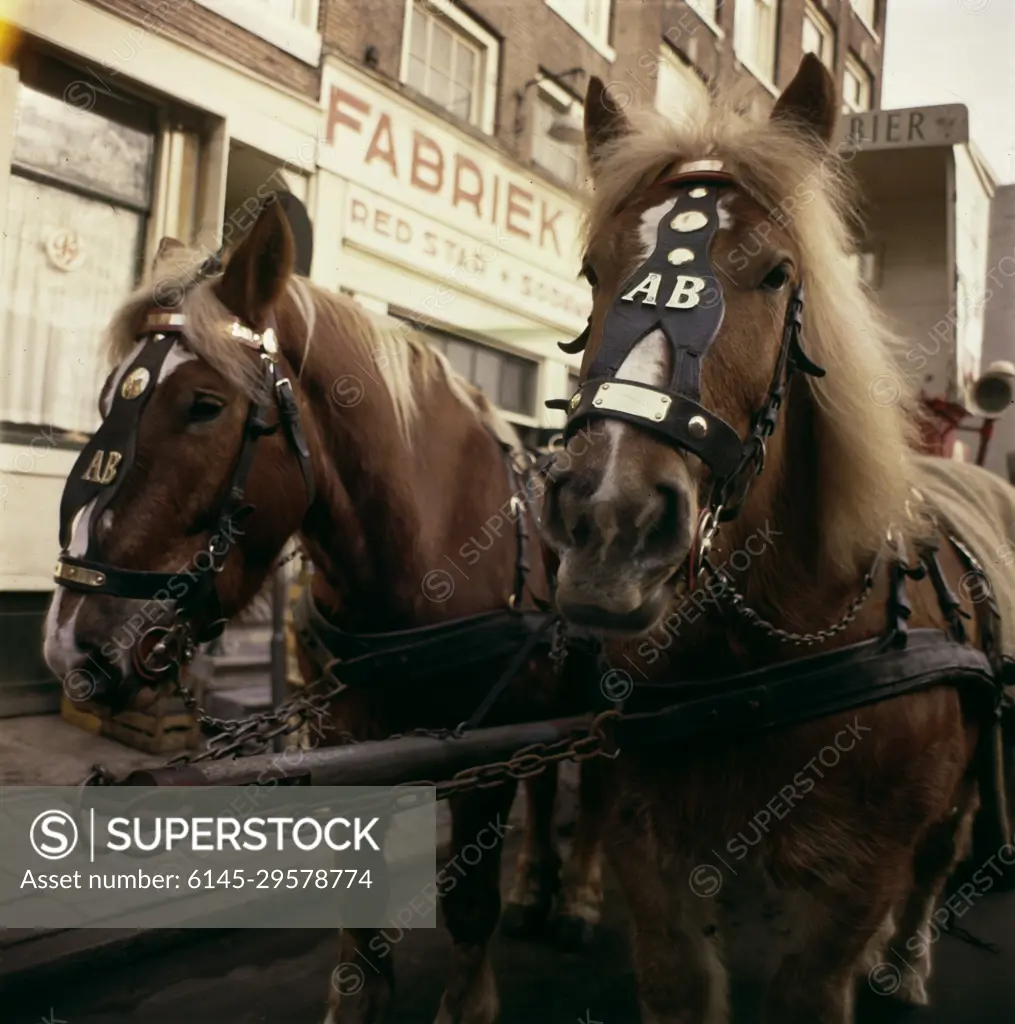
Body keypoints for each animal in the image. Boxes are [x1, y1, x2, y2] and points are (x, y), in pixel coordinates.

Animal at [41, 195, 602, 1019]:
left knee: (605, 782)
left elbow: (470, 902)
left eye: (204, 405)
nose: (69, 646)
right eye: (110, 396)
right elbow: (360, 914)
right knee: (550, 778)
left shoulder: (484, 749)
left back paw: (581, 901)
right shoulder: (347, 740)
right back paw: (537, 886)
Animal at [544, 58, 1011, 1024]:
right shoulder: (654, 854)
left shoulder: (853, 876)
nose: (609, 522)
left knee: (940, 856)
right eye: (593, 268)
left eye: (775, 273)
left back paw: (904, 960)